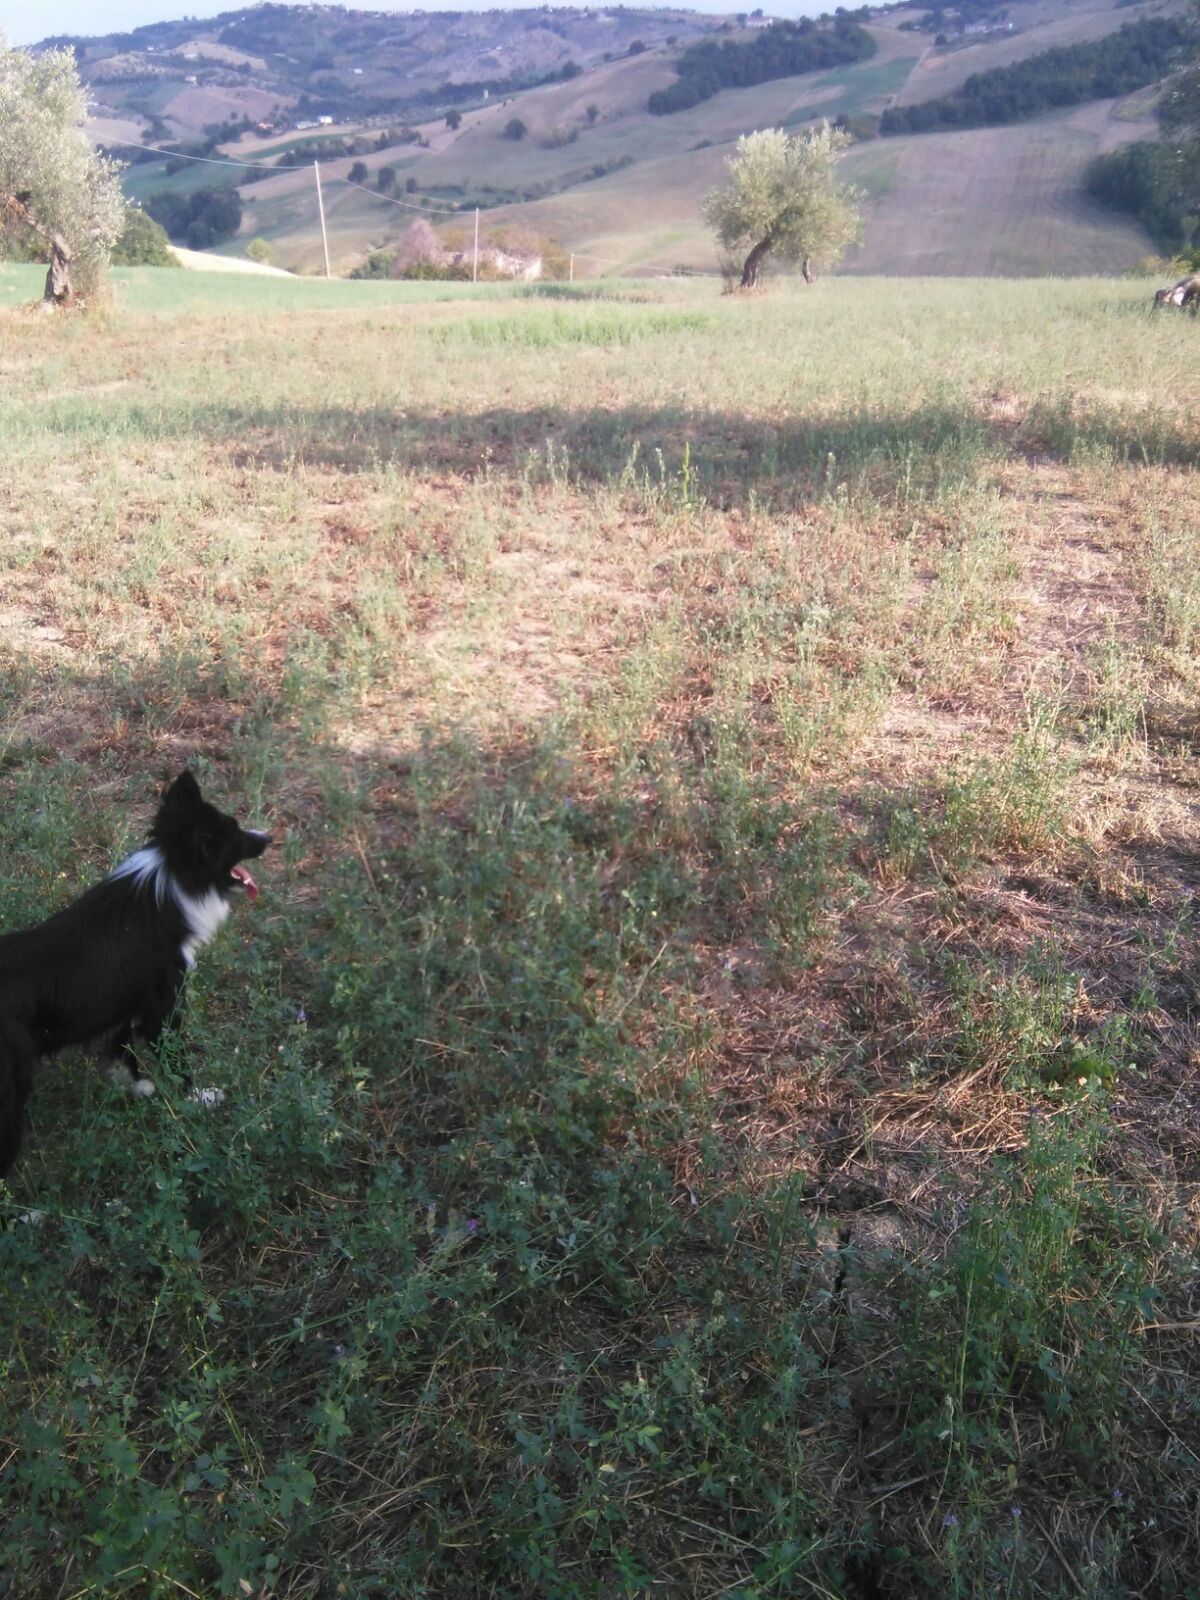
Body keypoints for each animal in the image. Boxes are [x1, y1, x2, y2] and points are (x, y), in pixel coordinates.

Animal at [0, 768, 270, 1184]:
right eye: (235, 833)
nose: (269, 838)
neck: (173, 880)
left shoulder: (128, 1006)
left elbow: (123, 1048)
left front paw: (137, 1086)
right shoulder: (164, 1007)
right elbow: (175, 1061)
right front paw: (198, 1098)